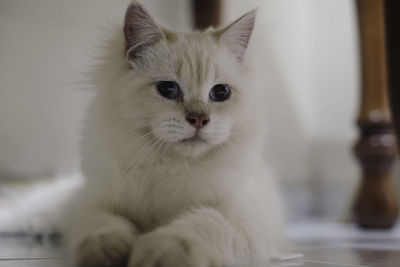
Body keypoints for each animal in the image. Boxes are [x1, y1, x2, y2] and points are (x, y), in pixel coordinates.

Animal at [65, 2, 284, 267]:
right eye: (168, 89)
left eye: (220, 92)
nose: (199, 120)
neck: (172, 167)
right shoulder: (95, 204)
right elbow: (102, 231)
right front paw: (109, 256)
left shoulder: (238, 217)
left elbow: (190, 229)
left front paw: (154, 254)